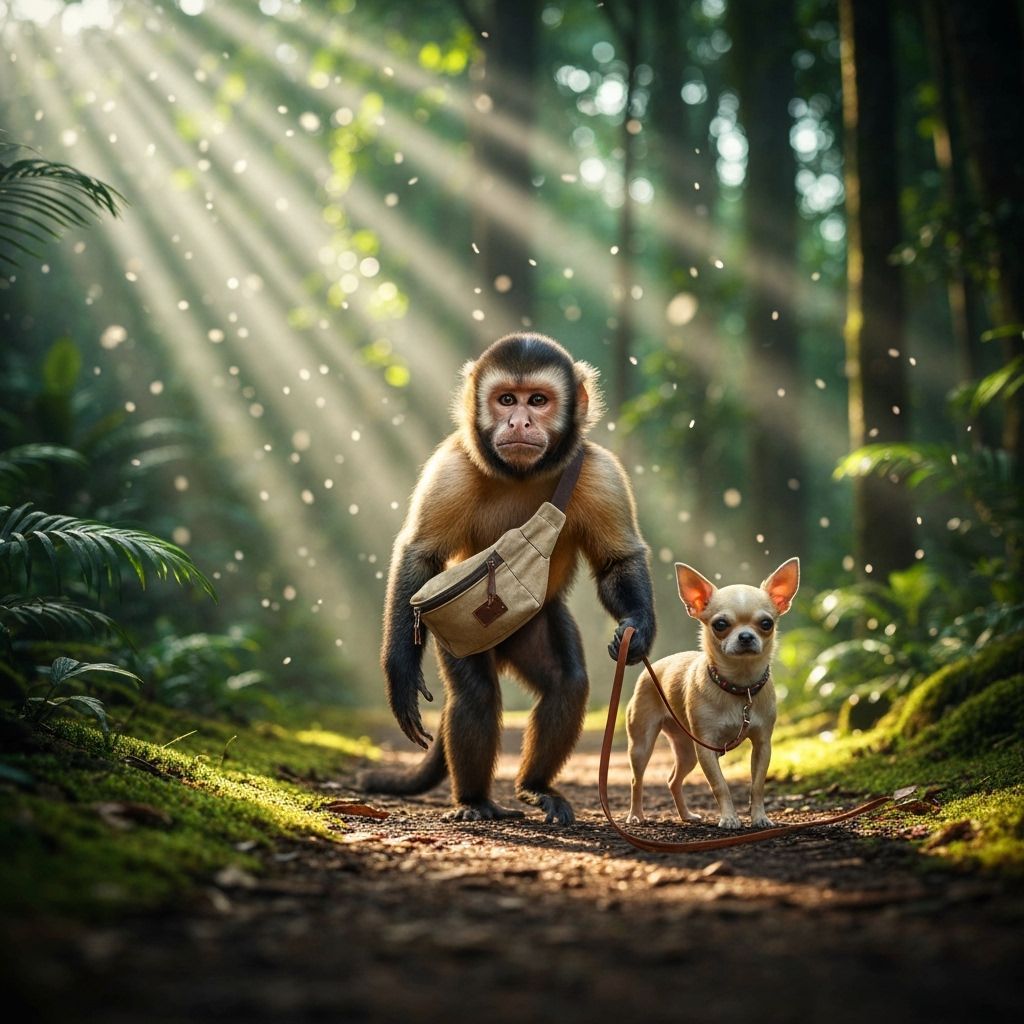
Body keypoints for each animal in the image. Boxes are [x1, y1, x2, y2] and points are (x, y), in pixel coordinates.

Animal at [358, 332, 655, 825]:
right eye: (505, 400)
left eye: (537, 400)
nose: (518, 421)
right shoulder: (450, 465)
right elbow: (420, 556)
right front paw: (399, 669)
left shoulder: (601, 471)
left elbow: (618, 561)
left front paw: (637, 628)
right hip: (458, 632)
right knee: (476, 693)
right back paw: (474, 799)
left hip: (532, 624)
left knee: (566, 682)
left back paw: (535, 787)